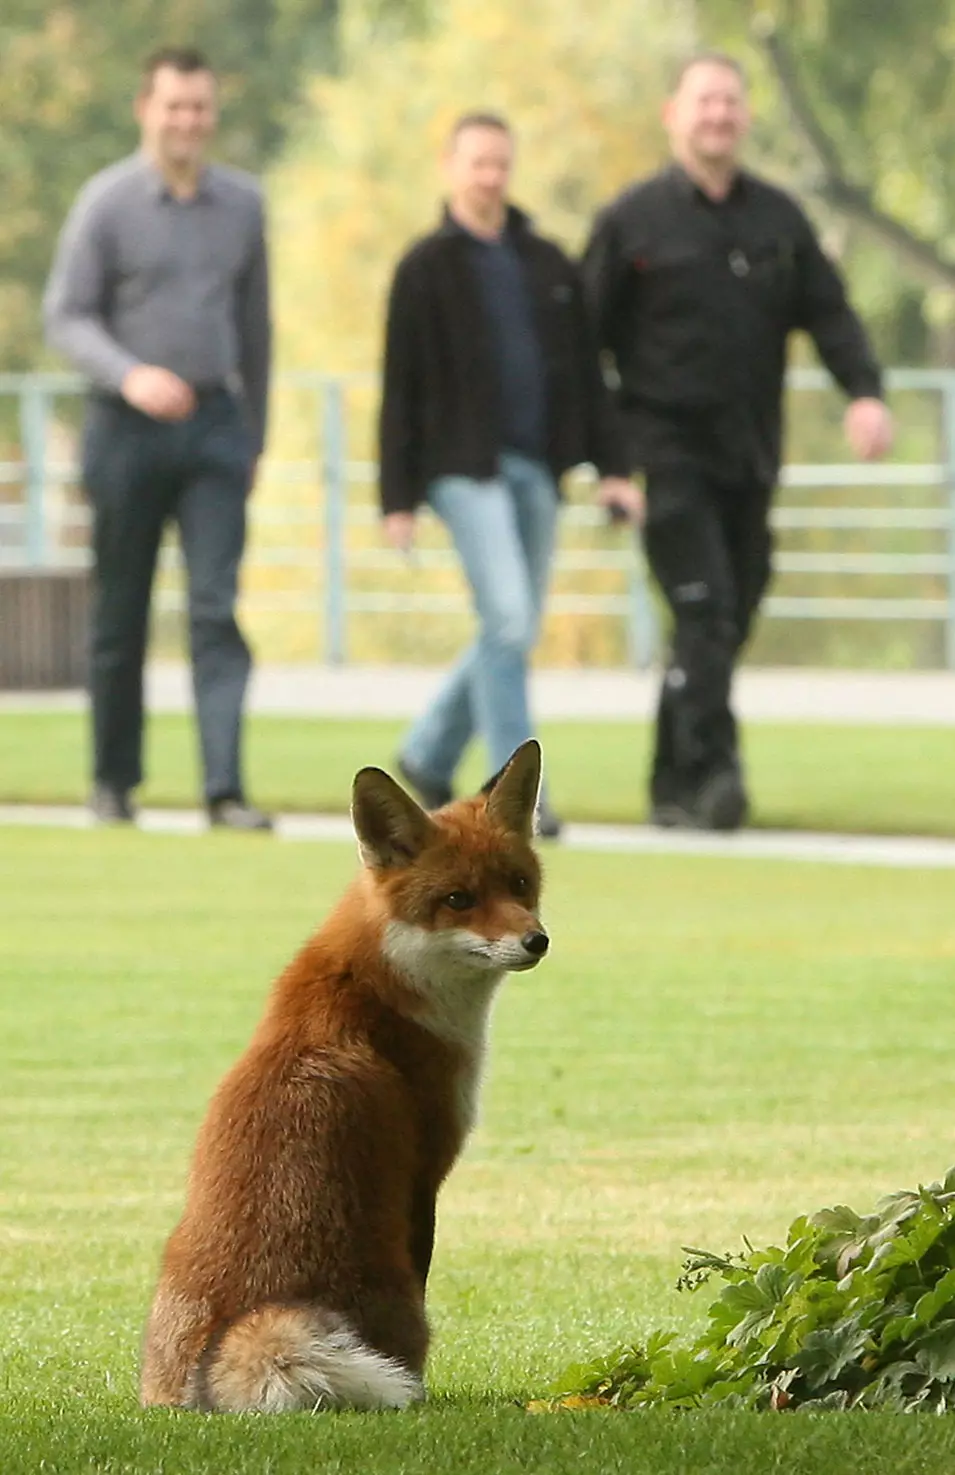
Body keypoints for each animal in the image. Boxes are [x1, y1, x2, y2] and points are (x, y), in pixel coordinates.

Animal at [138, 743, 549, 1410]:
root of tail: (237, 1332)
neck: (378, 988)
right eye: (458, 900)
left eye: (519, 884)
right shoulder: (423, 1176)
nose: (536, 940)